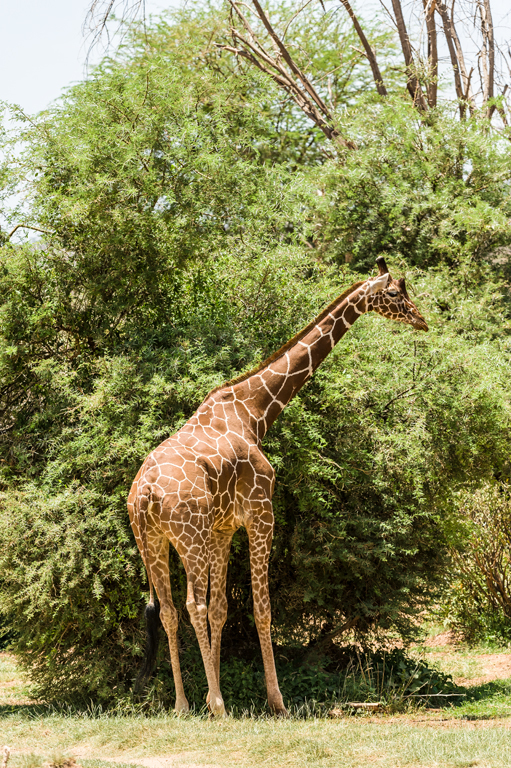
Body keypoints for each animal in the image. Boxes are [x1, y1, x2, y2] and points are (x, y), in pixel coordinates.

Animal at [127, 256, 428, 712]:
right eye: (394, 292)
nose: (422, 320)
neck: (254, 412)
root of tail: (144, 492)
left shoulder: (223, 529)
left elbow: (221, 609)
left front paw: (218, 692)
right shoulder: (260, 514)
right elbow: (261, 608)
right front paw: (275, 700)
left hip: (153, 541)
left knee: (168, 610)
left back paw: (183, 705)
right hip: (189, 536)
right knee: (192, 604)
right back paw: (217, 707)